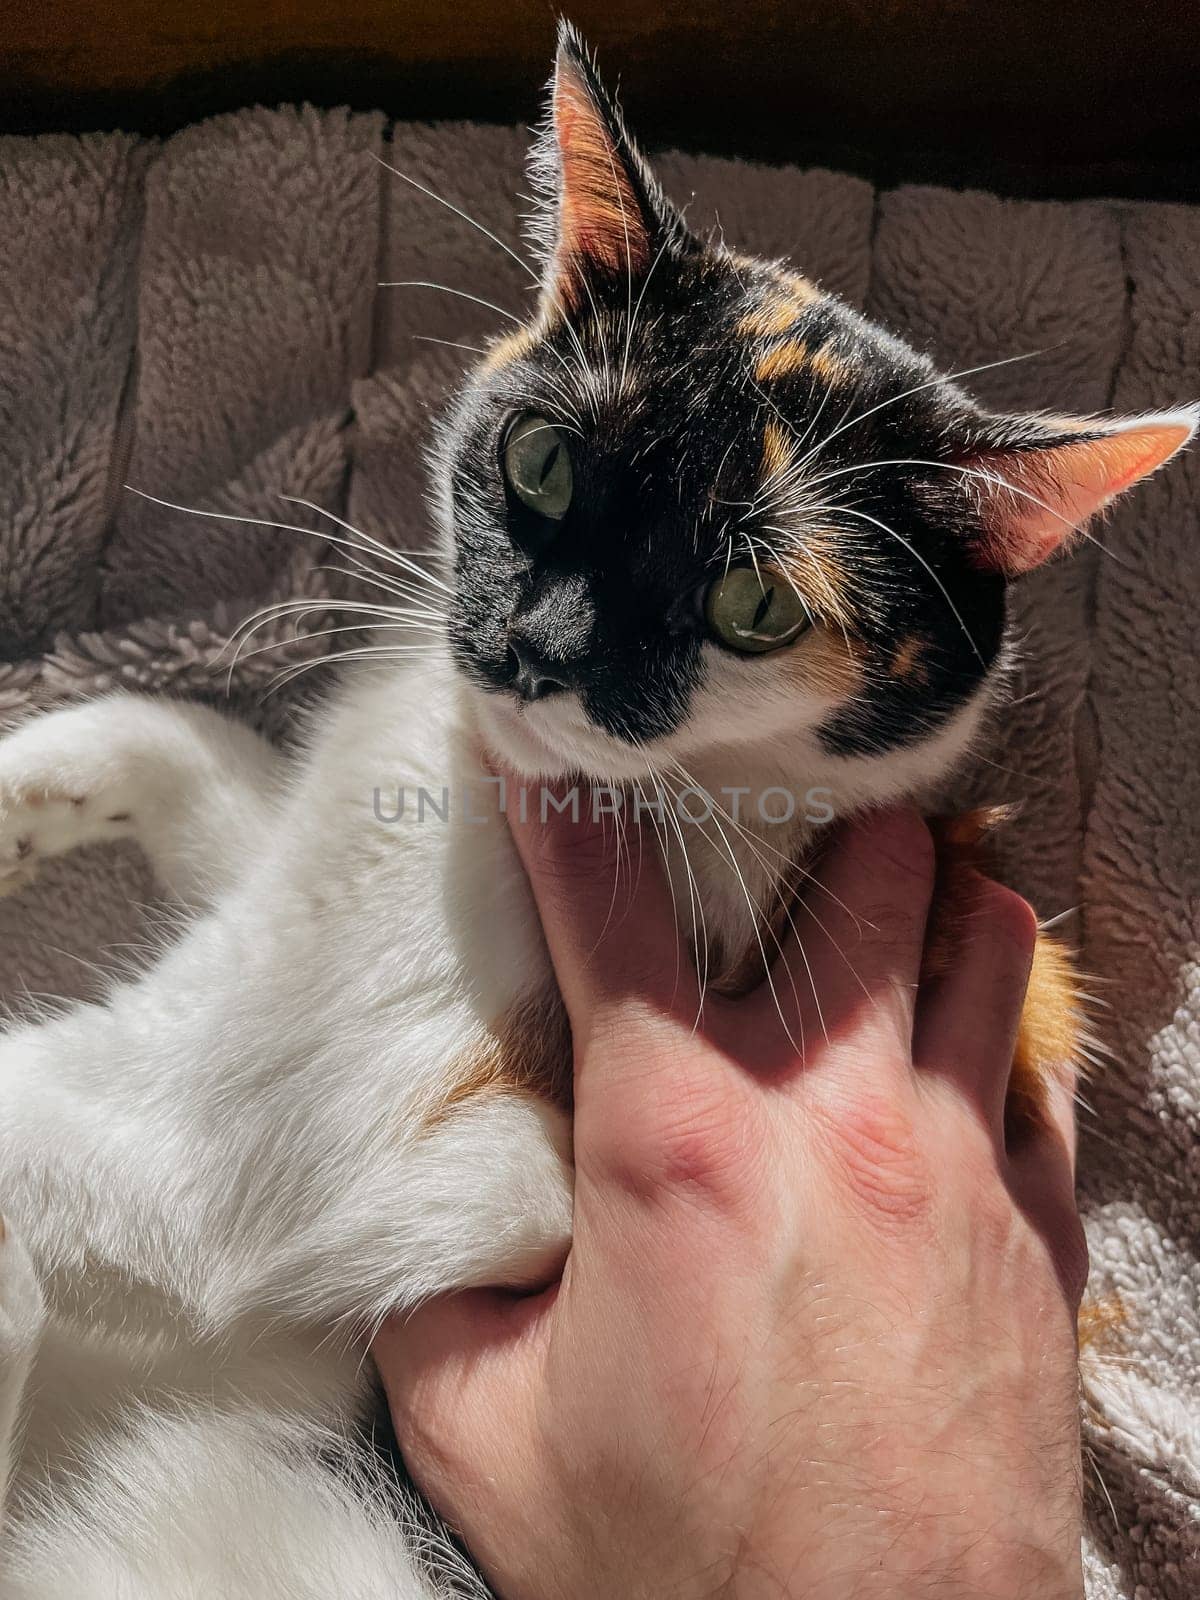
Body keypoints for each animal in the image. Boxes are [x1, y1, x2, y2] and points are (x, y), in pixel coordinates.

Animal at [2, 25, 1200, 1600]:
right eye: (543, 461)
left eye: (754, 604)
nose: (536, 647)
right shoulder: (290, 890)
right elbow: (192, 750)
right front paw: (25, 782)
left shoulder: (239, 1149)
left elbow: (45, 1129)